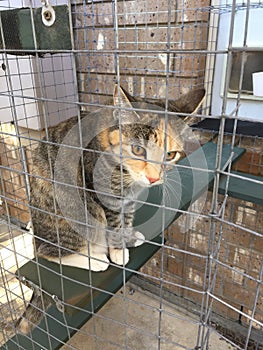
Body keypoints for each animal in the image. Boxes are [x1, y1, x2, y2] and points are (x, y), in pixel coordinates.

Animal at [16, 84, 206, 334]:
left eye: (170, 155)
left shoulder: (130, 197)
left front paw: (129, 236)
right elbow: (114, 221)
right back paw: (94, 259)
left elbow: (127, 217)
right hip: (76, 211)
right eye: (138, 150)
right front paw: (117, 251)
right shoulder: (104, 192)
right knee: (46, 251)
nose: (154, 178)